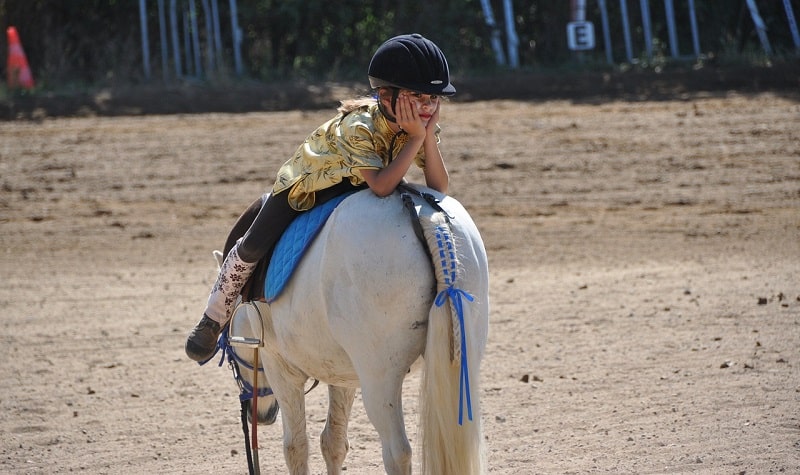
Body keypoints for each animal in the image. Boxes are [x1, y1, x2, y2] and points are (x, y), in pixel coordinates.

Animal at [225, 186, 488, 475]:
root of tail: (429, 219)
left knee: (397, 452)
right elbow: (333, 442)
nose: (260, 415)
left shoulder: (280, 367)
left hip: (380, 381)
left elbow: (295, 447)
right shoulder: (343, 375)